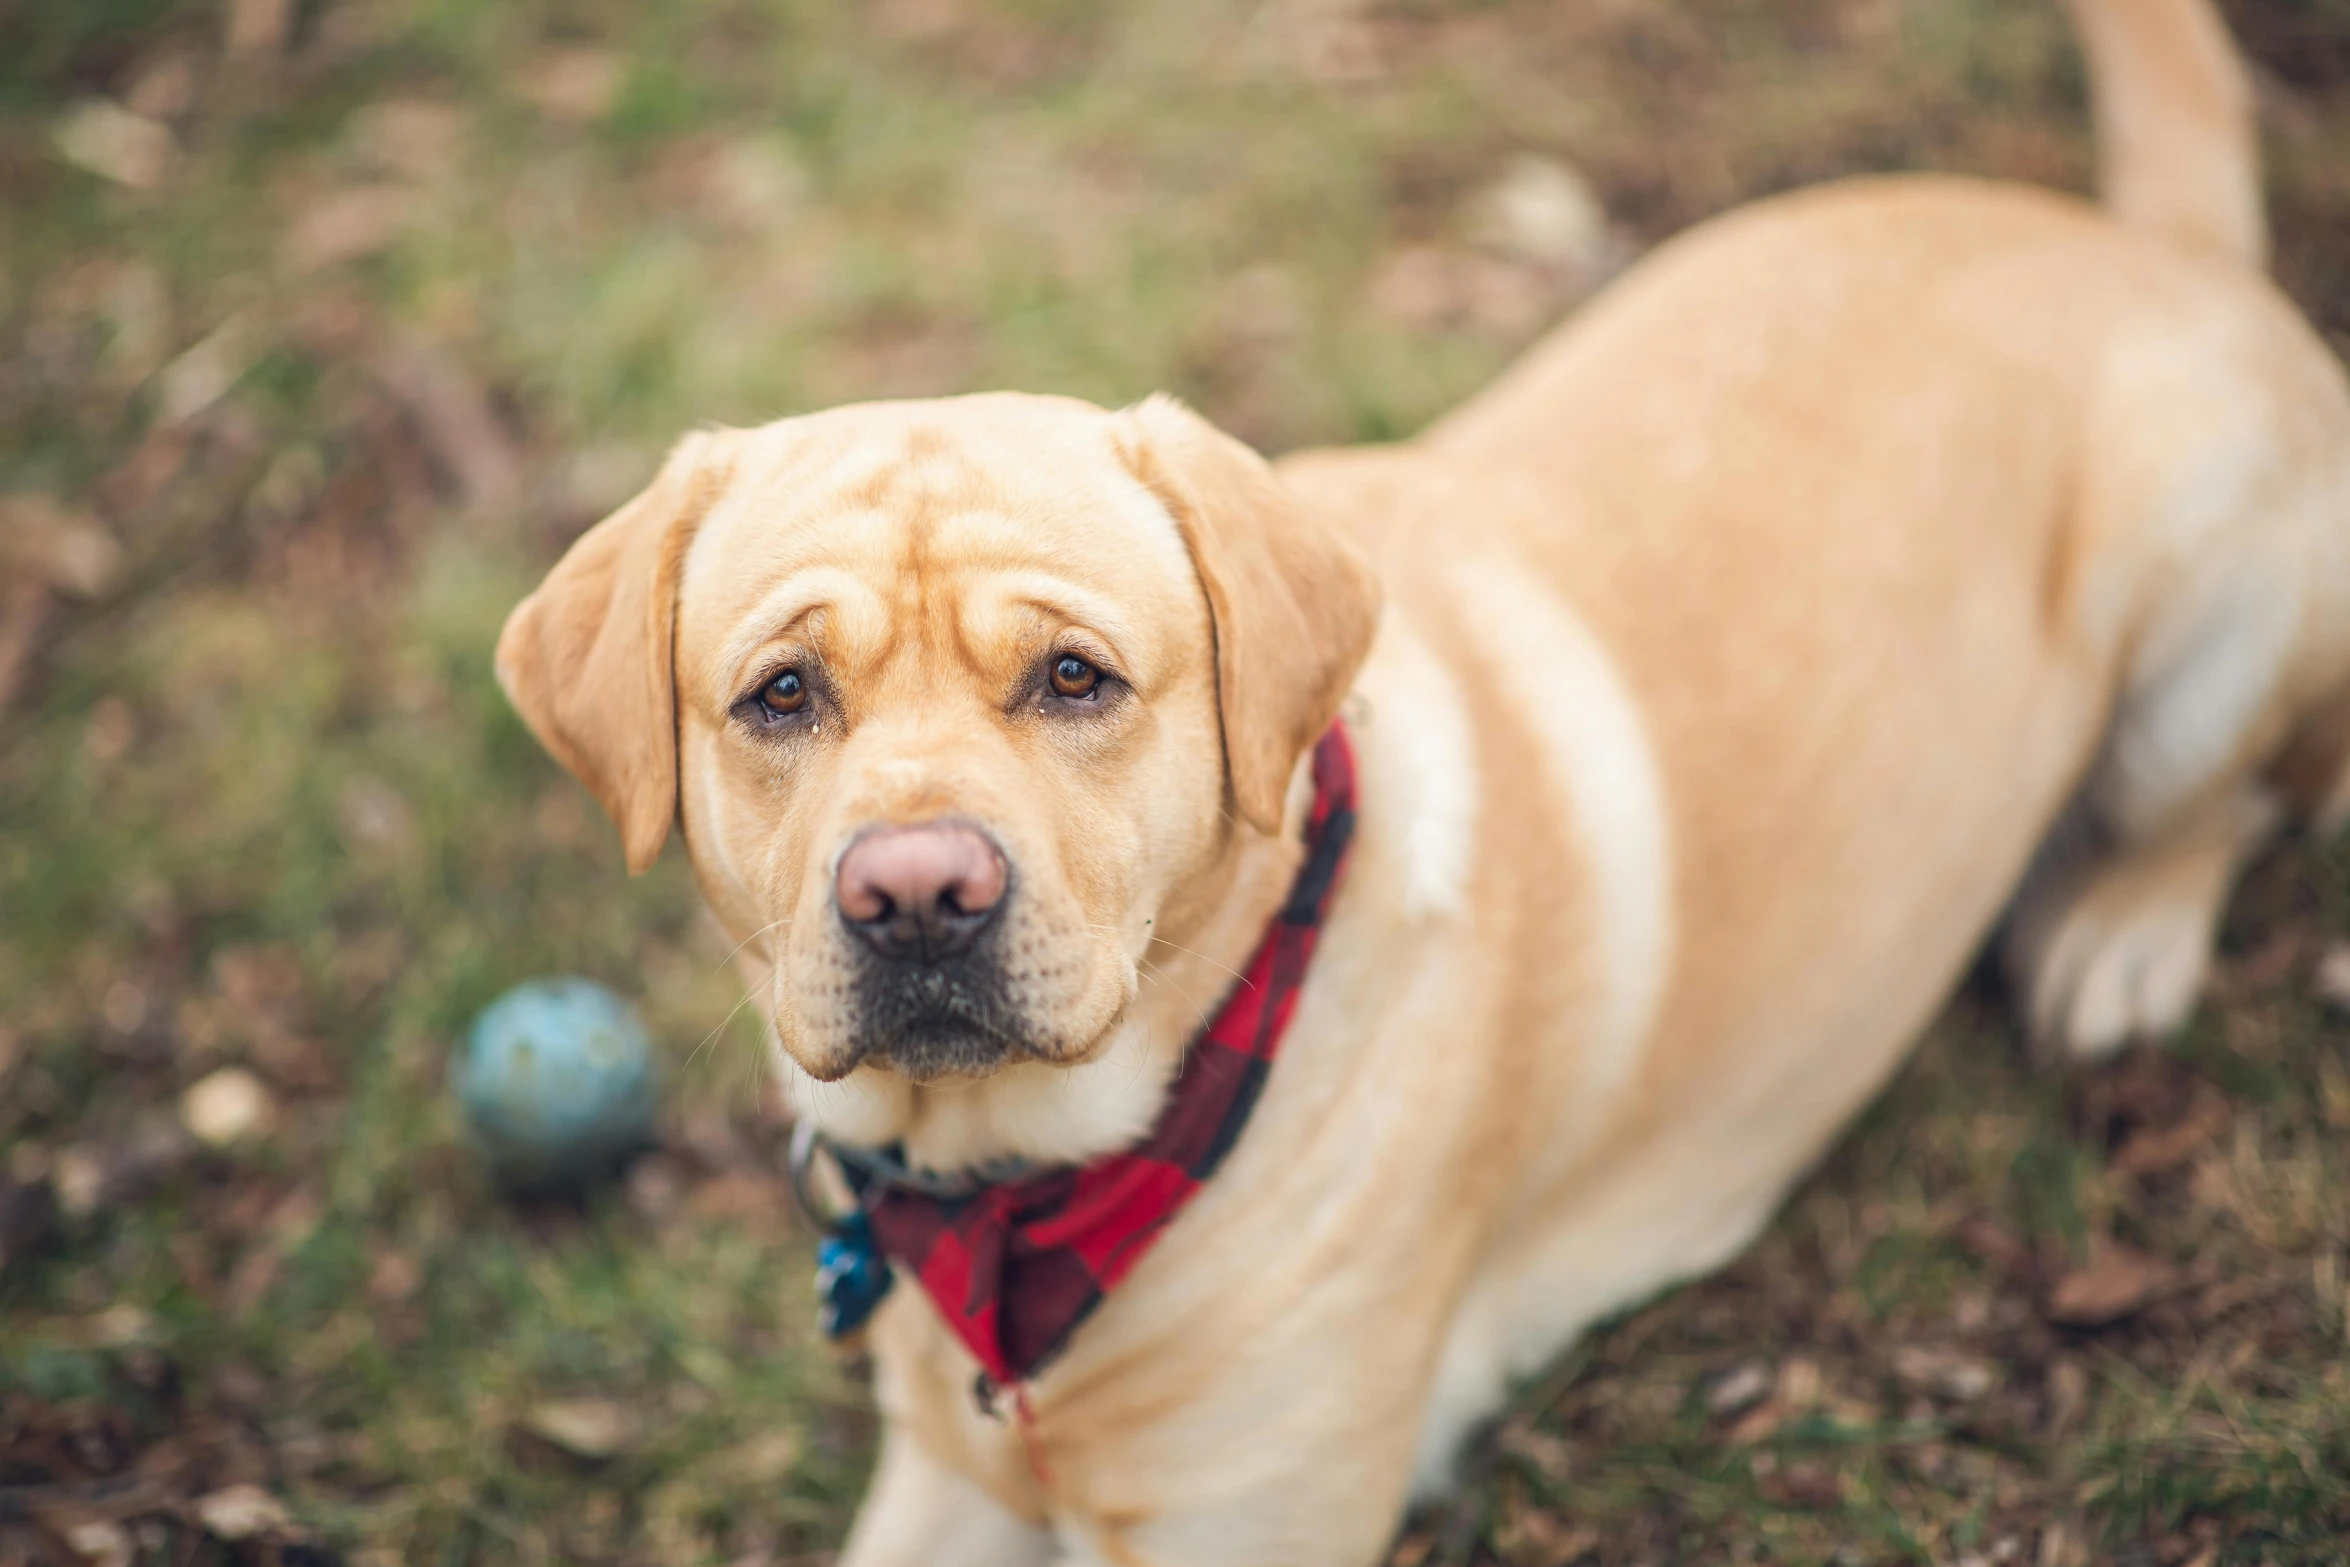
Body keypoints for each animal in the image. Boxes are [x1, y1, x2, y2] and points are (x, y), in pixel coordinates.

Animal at [495, 3, 2350, 1559]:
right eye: (782, 693)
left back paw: (2116, 932)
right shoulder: (942, 1486)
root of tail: (2140, 245)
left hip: (2208, 620)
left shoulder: (1246, 1521)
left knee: (2230, 803)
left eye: (1074, 677)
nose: (915, 896)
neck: (1031, 1203)